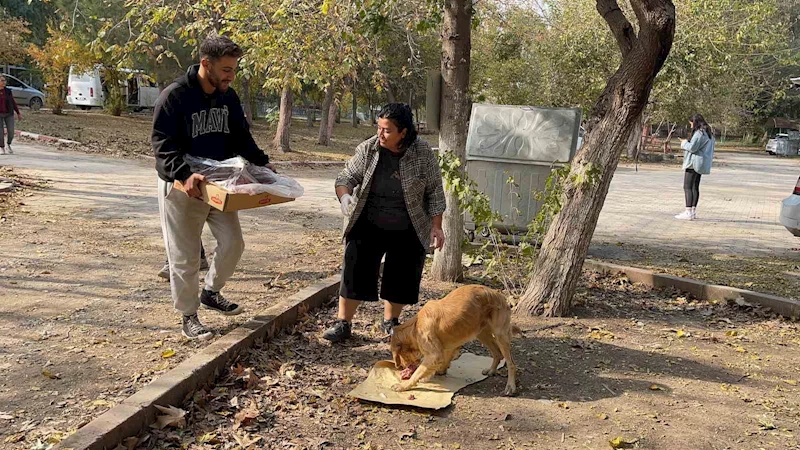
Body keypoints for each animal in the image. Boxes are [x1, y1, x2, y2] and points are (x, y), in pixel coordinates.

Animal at [390, 286, 520, 396]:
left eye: (400, 356)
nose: (401, 368)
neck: (415, 326)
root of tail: (501, 296)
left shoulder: (434, 354)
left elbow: (419, 371)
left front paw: (404, 385)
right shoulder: (449, 345)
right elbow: (444, 360)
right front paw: (440, 371)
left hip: (500, 335)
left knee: (511, 363)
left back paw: (510, 387)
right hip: (481, 333)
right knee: (497, 354)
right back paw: (491, 370)